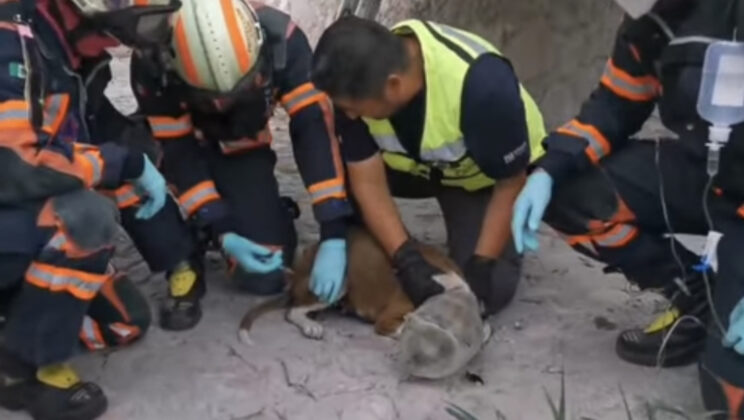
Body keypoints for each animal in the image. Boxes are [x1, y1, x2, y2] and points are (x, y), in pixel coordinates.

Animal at [238, 226, 464, 342]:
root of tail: (297, 274)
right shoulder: (388, 320)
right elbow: (403, 328)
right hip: (337, 281)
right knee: (292, 310)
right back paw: (311, 325)